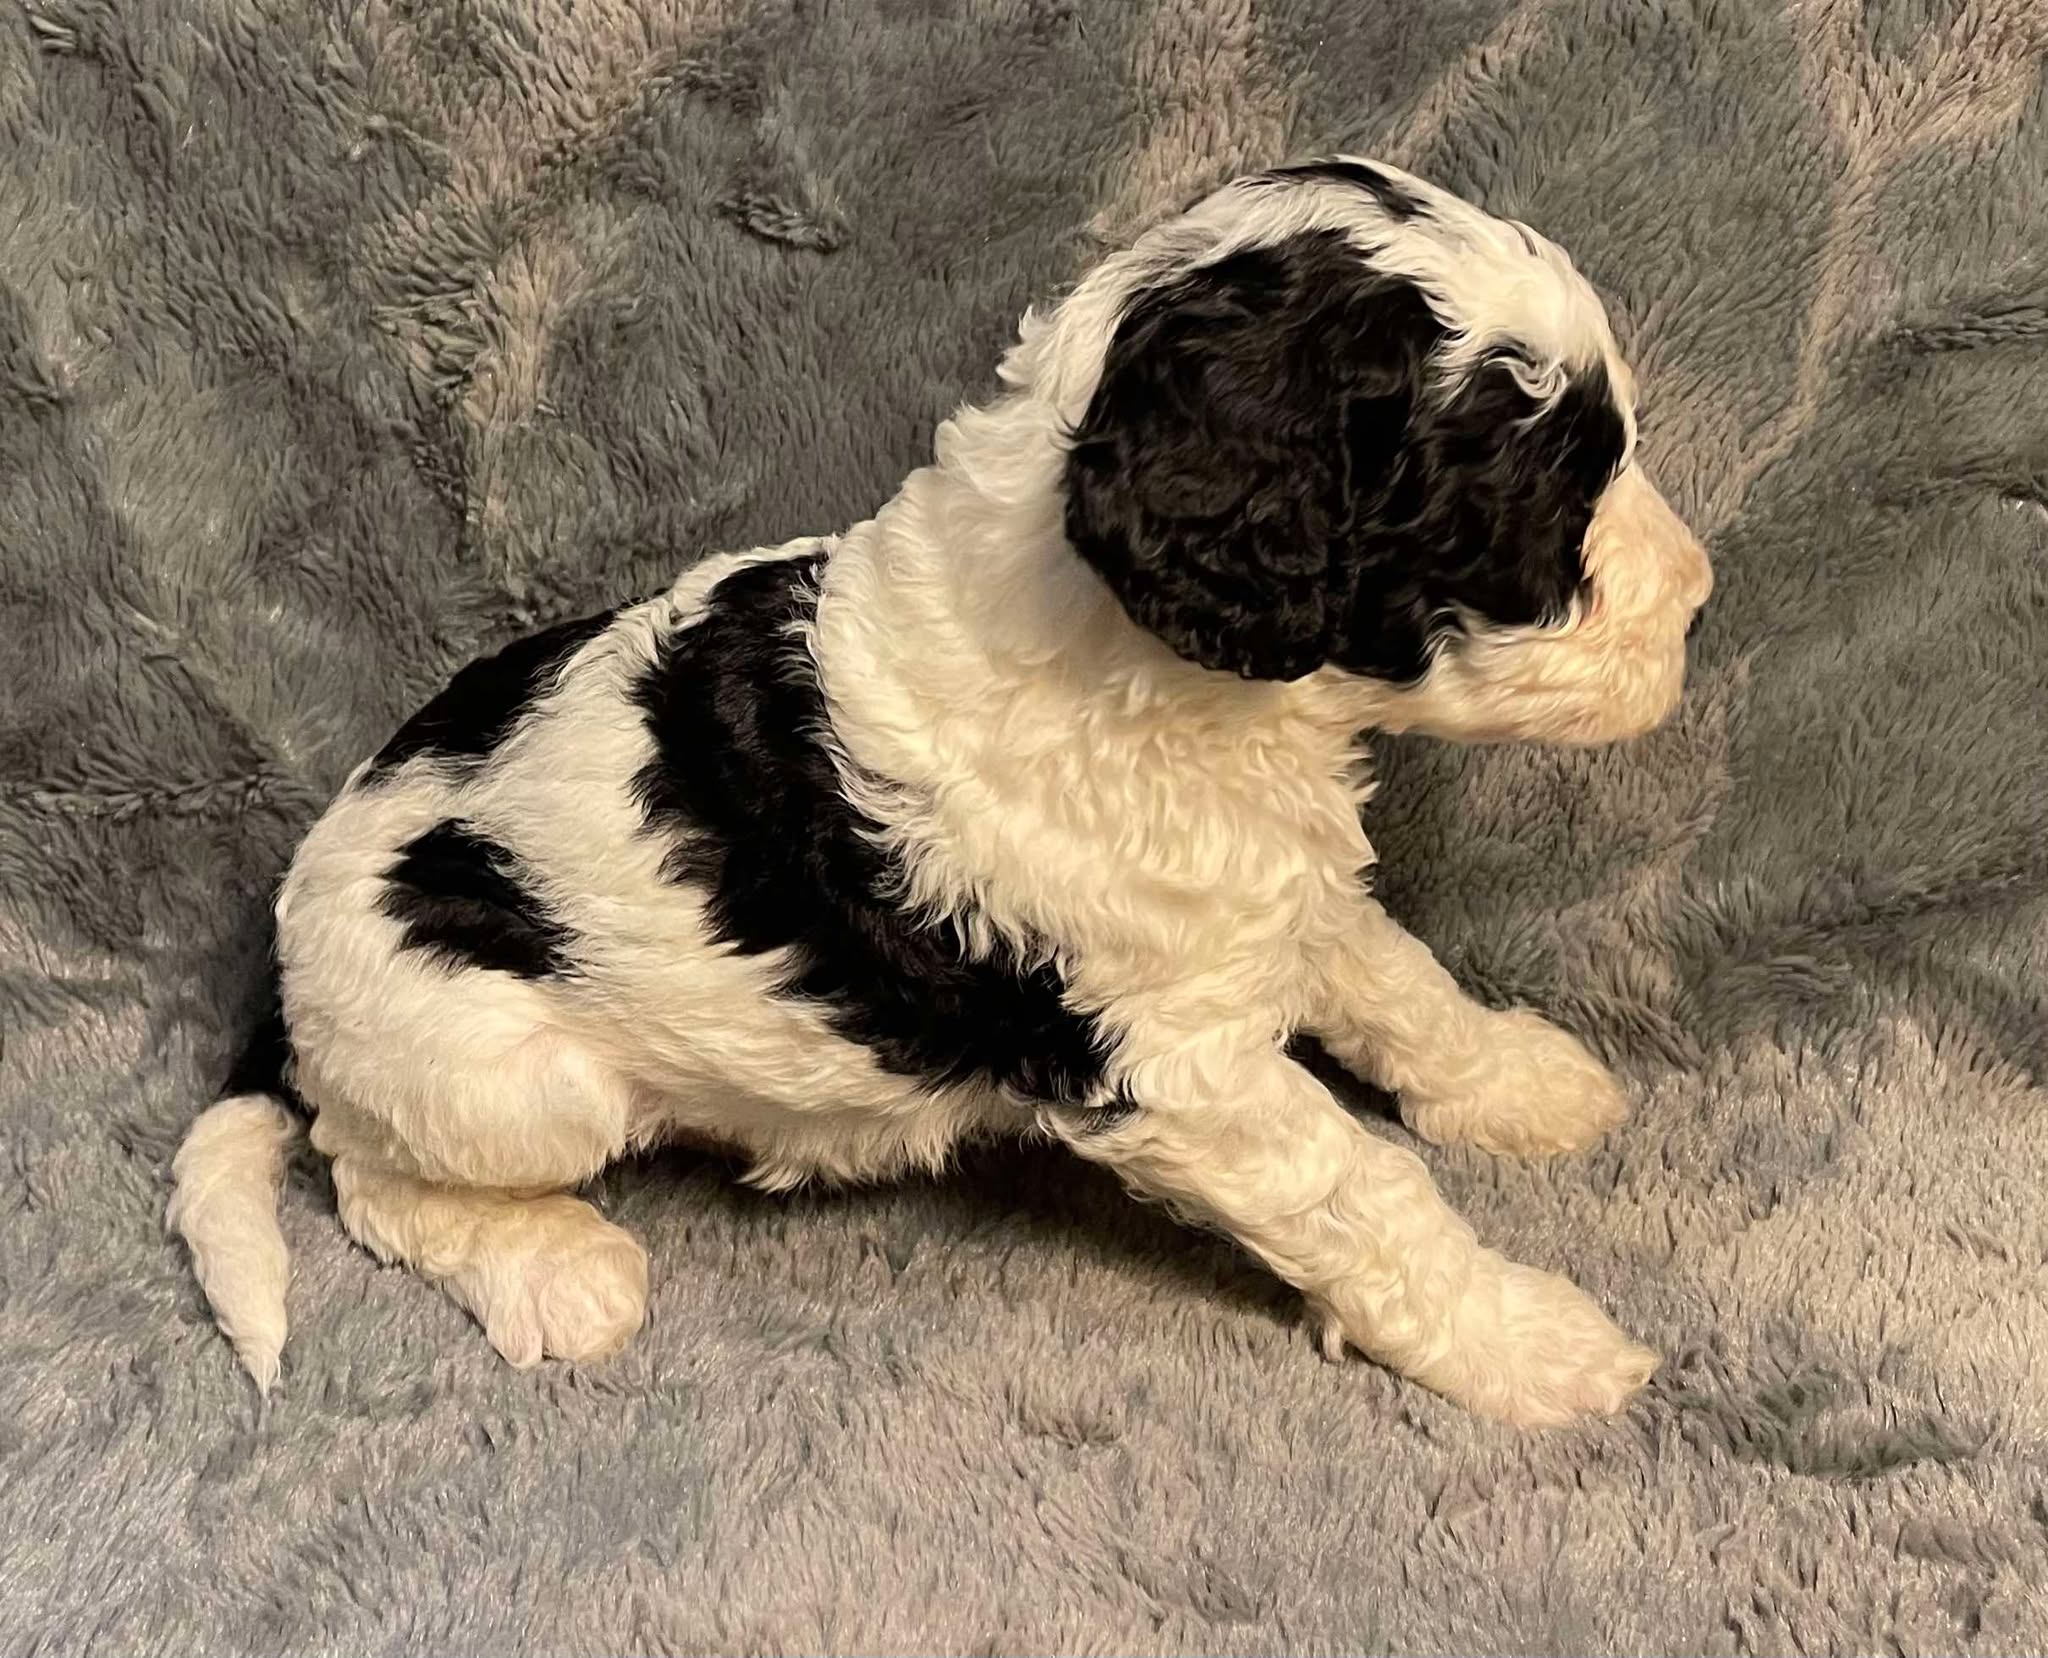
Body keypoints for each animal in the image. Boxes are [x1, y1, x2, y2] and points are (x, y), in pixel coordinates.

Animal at [171, 157, 1711, 1425]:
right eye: (1542, 495)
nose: (1699, 597)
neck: (1153, 681)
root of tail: (289, 964)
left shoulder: (1261, 899)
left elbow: (1399, 981)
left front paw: (1519, 1081)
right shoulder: (1174, 1063)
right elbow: (1364, 1187)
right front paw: (1528, 1343)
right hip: (508, 1076)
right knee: (369, 1173)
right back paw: (554, 1269)